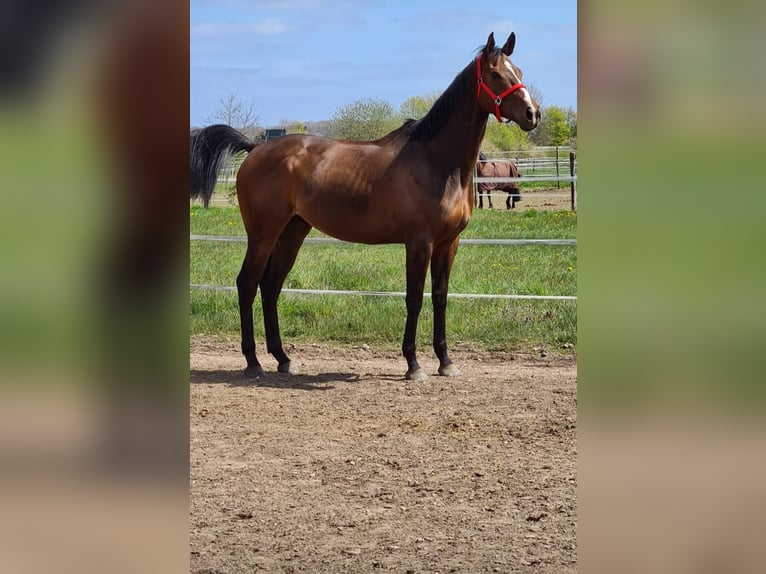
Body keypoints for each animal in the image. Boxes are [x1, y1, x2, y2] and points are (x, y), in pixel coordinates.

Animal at [190, 31, 540, 382]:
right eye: (495, 74)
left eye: (519, 71)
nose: (532, 113)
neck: (437, 162)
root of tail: (255, 147)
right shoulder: (419, 242)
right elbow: (414, 298)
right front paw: (413, 364)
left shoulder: (448, 243)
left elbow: (440, 297)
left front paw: (446, 361)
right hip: (263, 234)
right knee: (247, 283)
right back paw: (253, 362)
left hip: (292, 231)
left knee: (270, 285)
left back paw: (283, 358)